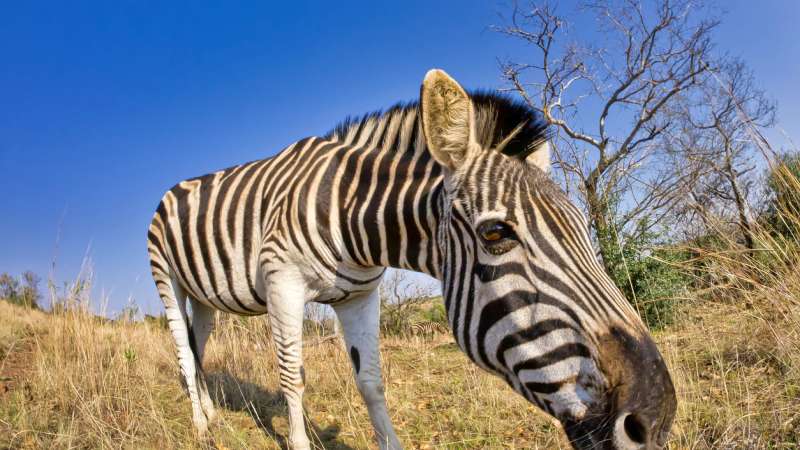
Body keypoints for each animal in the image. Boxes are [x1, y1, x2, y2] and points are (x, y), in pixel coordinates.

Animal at [148, 69, 676, 450]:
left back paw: (210, 414)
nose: (656, 418)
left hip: (206, 298)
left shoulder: (360, 295)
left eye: (585, 231)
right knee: (182, 350)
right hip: (167, 279)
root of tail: (180, 183)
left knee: (197, 345)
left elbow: (370, 381)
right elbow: (292, 376)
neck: (354, 217)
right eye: (495, 233)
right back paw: (201, 426)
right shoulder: (283, 282)